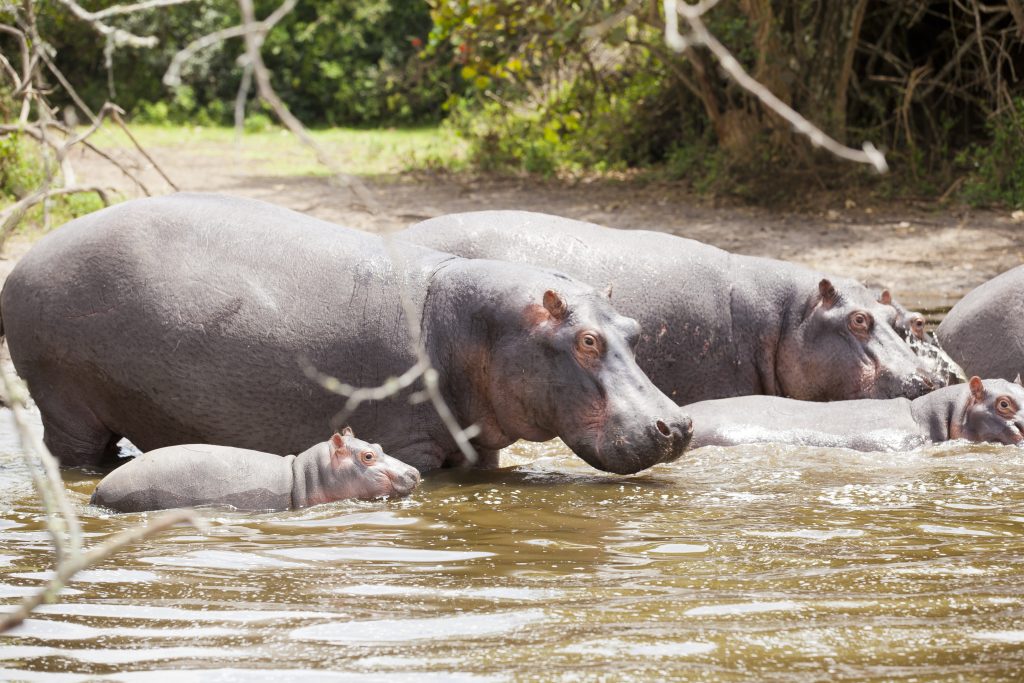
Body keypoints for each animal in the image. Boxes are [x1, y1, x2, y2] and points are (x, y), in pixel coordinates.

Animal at [0, 194, 692, 475]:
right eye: (585, 341)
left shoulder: (479, 448)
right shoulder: (411, 445)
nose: (679, 425)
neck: (473, 325)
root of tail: (25, 260)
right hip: (65, 406)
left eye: (633, 329)